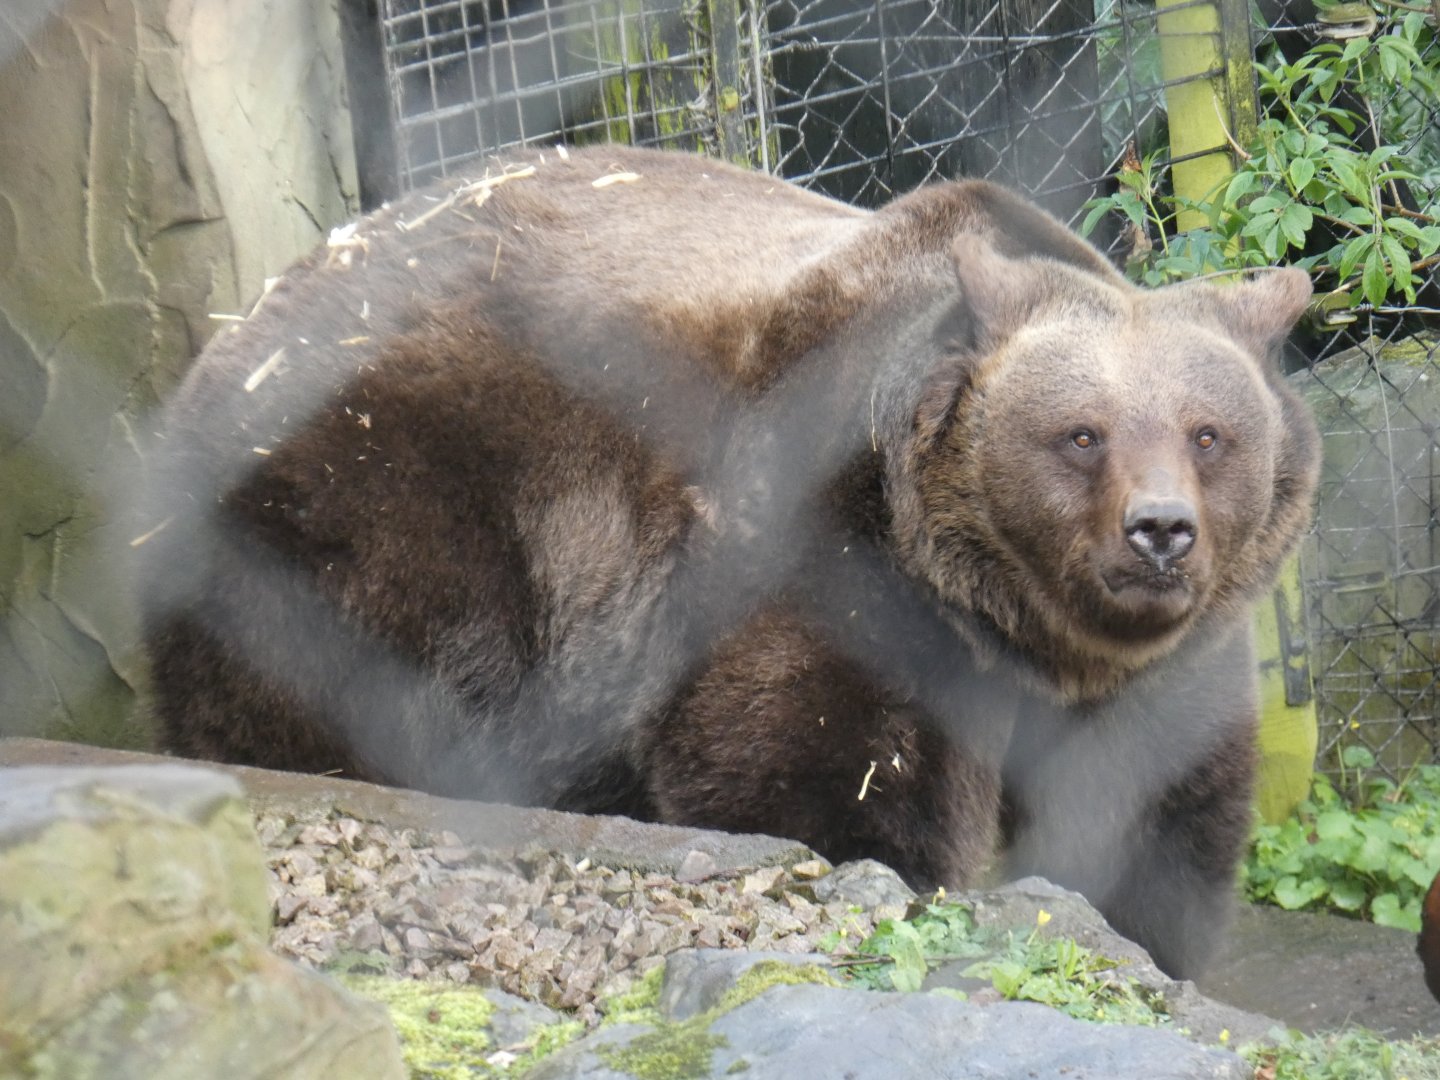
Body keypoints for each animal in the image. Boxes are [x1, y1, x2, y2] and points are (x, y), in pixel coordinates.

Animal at [138, 145, 1320, 978]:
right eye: (1081, 434)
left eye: (1209, 433)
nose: (1159, 530)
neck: (1017, 626)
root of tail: (238, 328)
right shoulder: (822, 557)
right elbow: (815, 779)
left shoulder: (1170, 667)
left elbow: (1158, 825)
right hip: (391, 506)